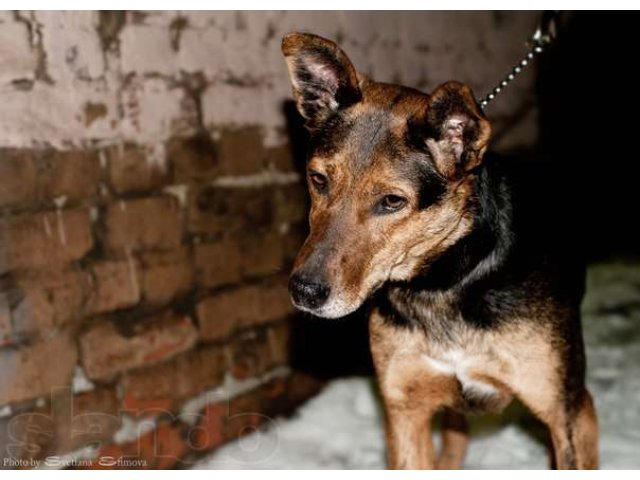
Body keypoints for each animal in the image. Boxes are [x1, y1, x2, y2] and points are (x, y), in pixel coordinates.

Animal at [282, 31, 596, 468]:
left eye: (392, 201)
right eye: (318, 179)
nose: (305, 292)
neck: (446, 280)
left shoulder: (570, 412)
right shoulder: (404, 410)